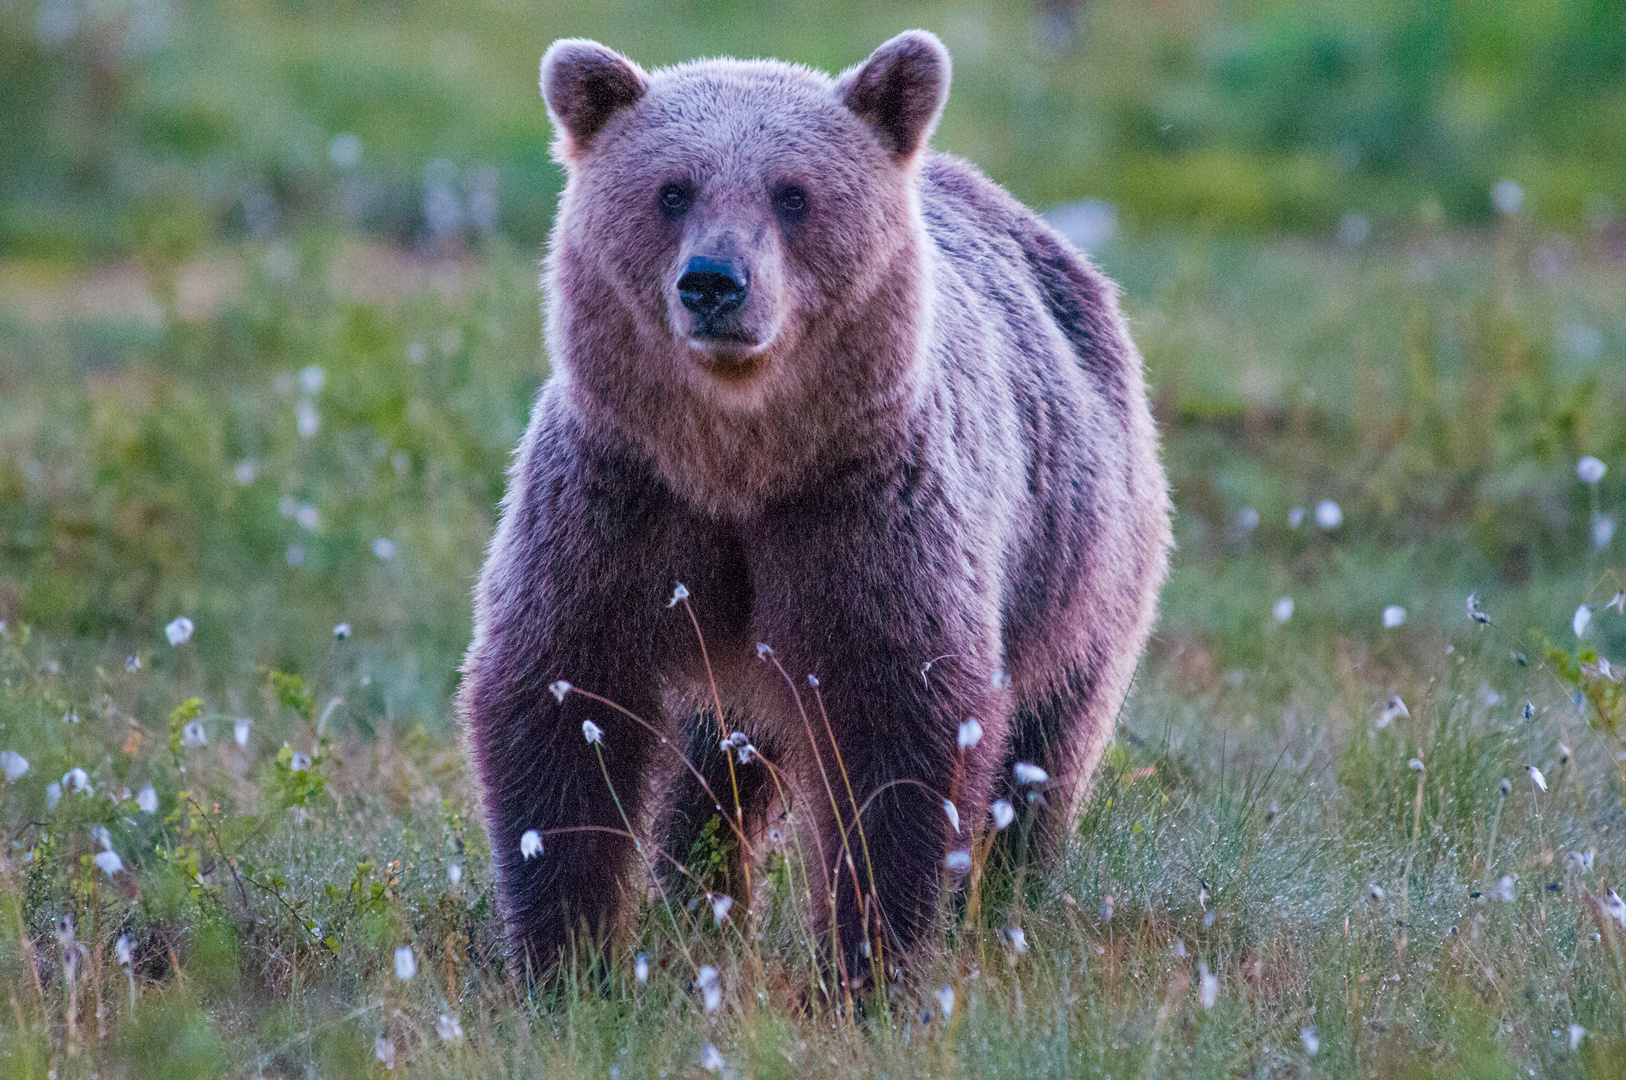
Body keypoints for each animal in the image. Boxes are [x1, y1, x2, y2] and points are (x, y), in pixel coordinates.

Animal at [458, 27, 1170, 988]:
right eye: (672, 188)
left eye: (792, 194)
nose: (713, 281)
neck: (737, 466)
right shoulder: (619, 500)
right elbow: (563, 694)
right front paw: (566, 957)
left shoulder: (860, 513)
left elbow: (898, 730)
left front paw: (870, 960)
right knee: (712, 769)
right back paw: (698, 901)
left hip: (1080, 557)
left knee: (1044, 750)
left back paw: (1001, 905)